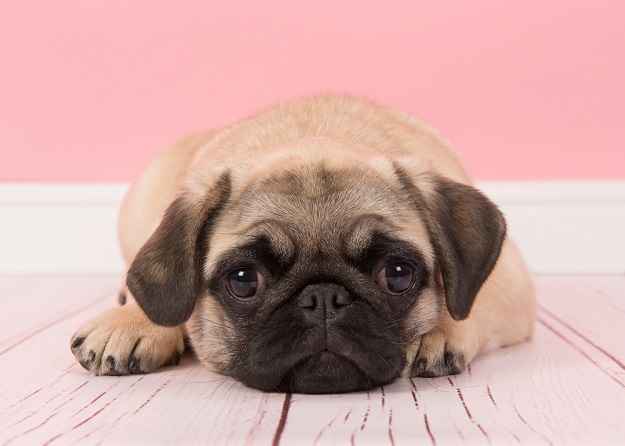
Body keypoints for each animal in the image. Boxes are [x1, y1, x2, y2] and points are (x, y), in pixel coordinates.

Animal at [70, 95, 532, 394]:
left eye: (398, 275)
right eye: (244, 281)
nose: (323, 297)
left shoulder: (510, 284)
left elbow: (472, 301)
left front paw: (441, 331)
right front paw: (133, 321)